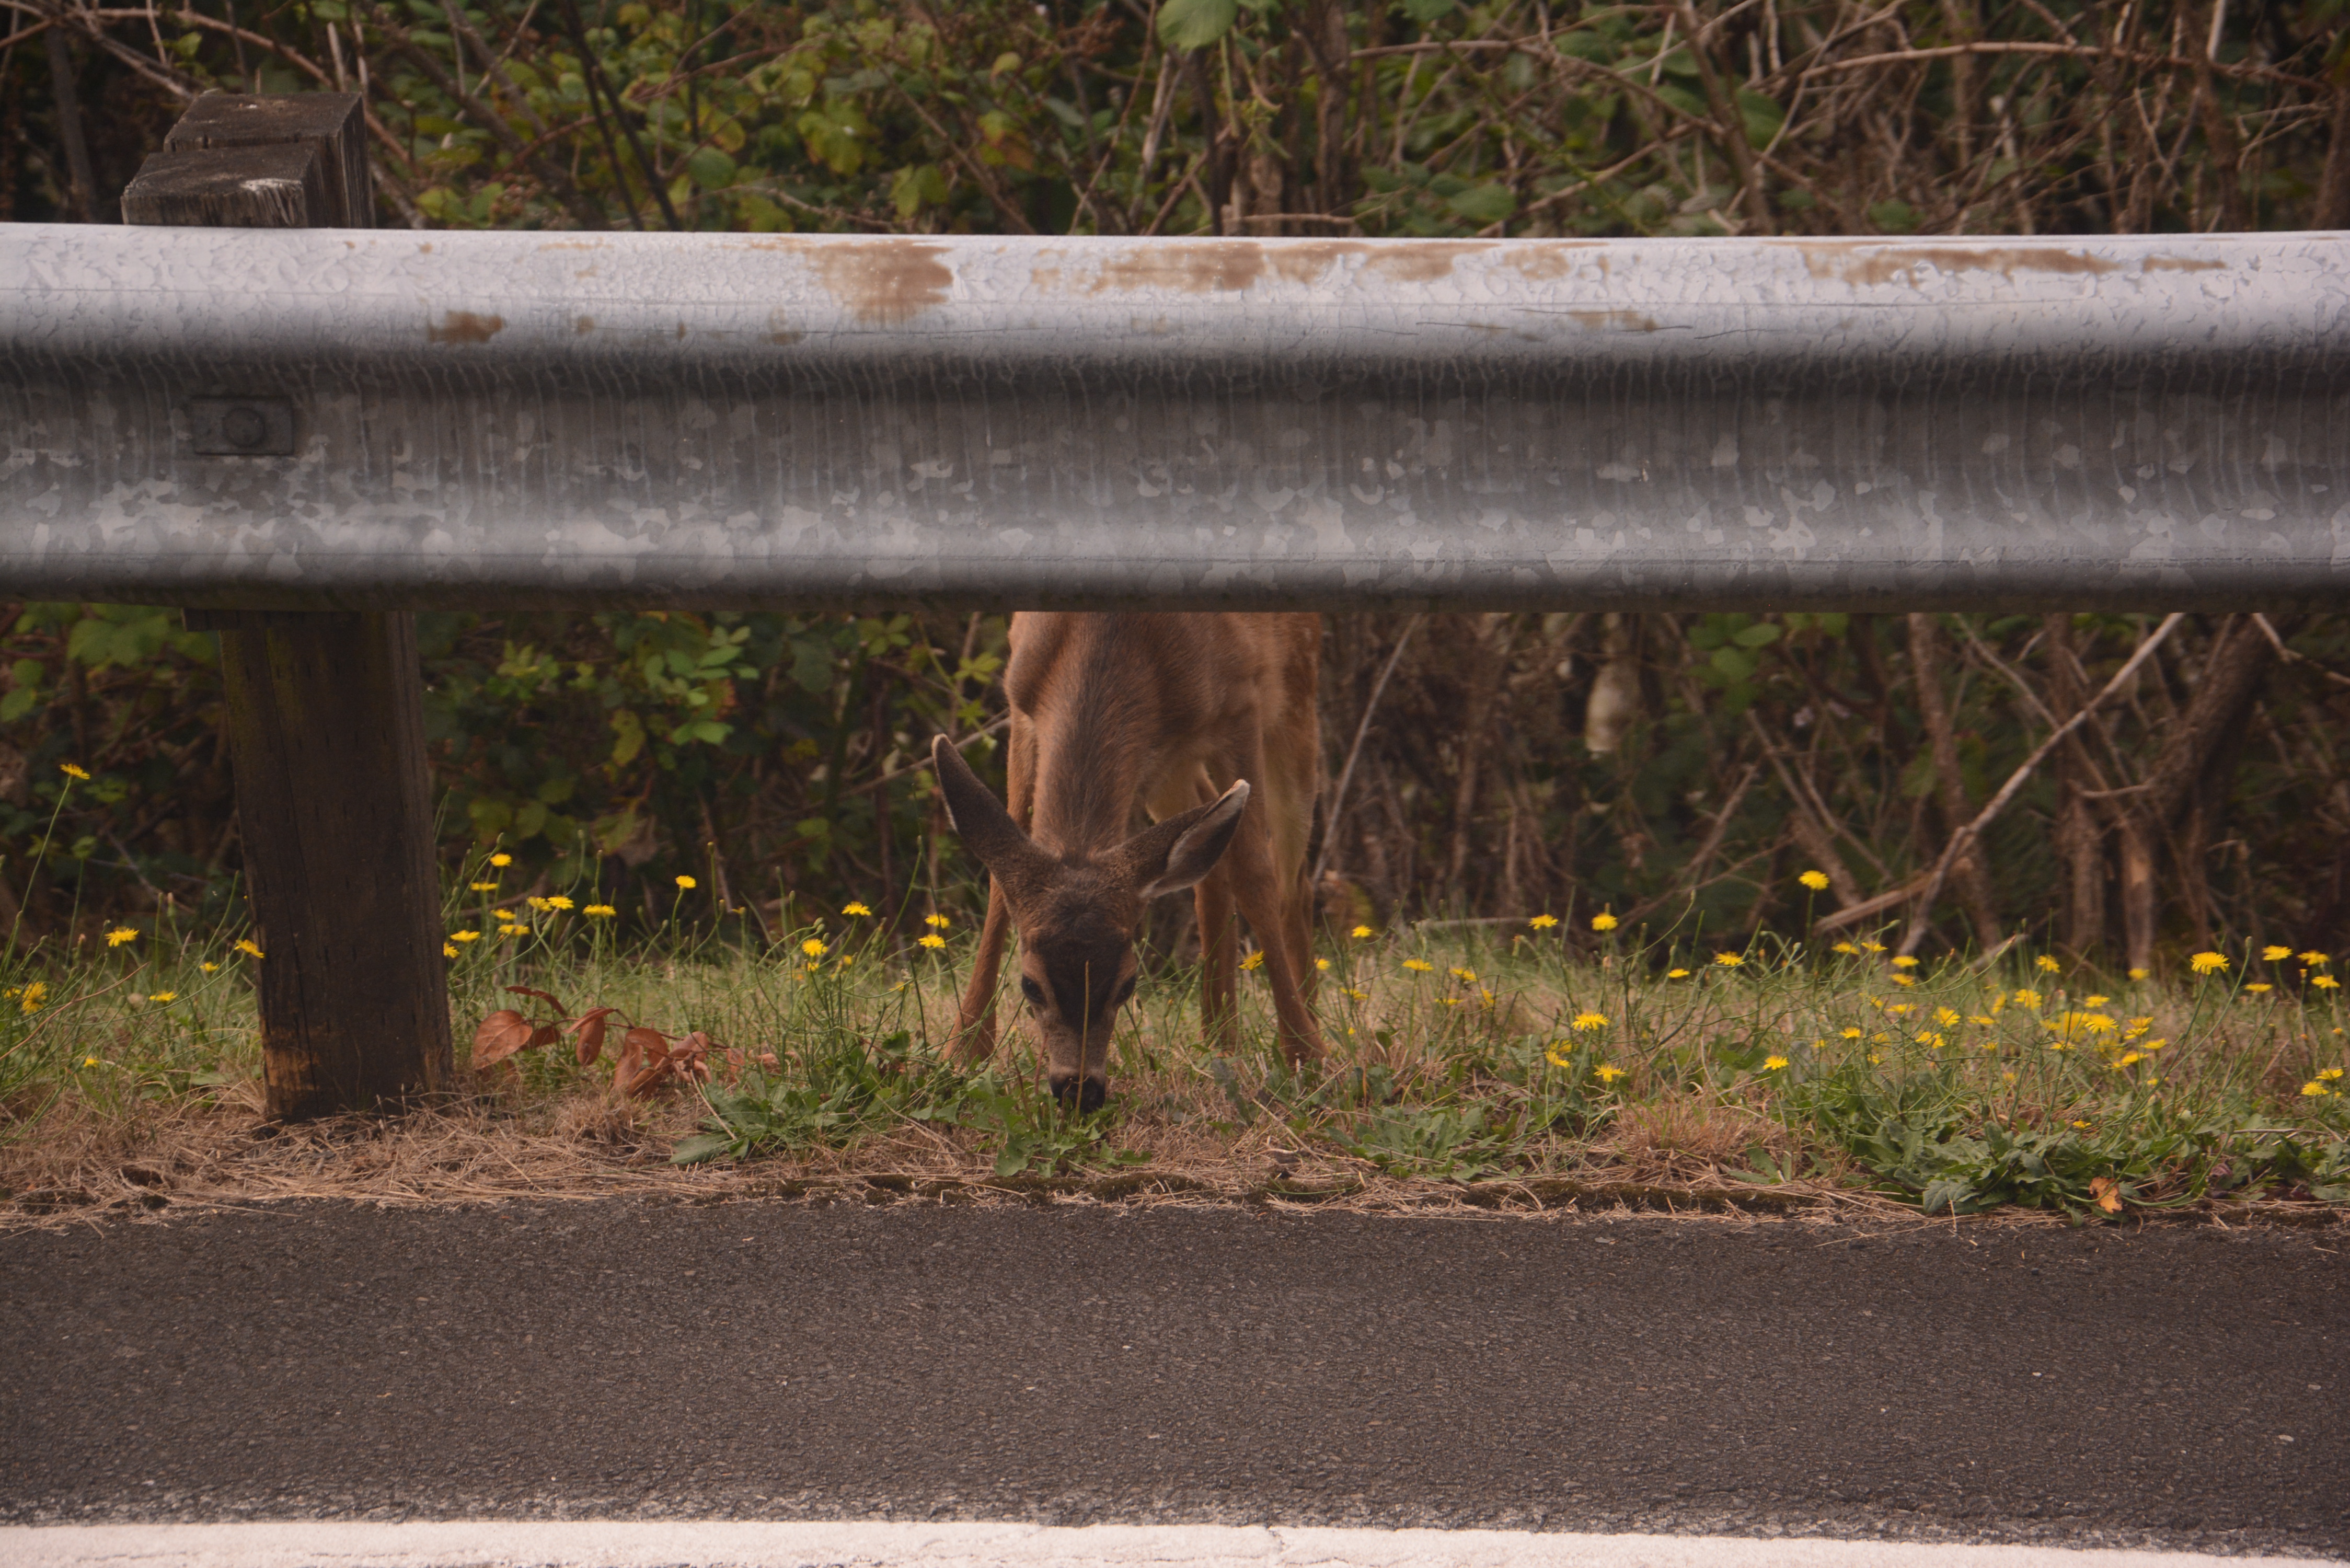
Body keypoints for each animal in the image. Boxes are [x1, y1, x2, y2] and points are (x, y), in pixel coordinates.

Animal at [929, 612, 1328, 1112]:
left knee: (1293, 882)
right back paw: (1219, 1041)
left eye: (1128, 986)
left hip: (1296, 699)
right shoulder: (1022, 707)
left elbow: (1256, 876)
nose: (1079, 1090)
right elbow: (1001, 882)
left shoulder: (1241, 705)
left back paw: (1306, 1023)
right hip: (1167, 768)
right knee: (1211, 865)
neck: (1107, 638)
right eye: (1029, 985)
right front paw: (964, 1050)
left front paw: (1305, 1055)